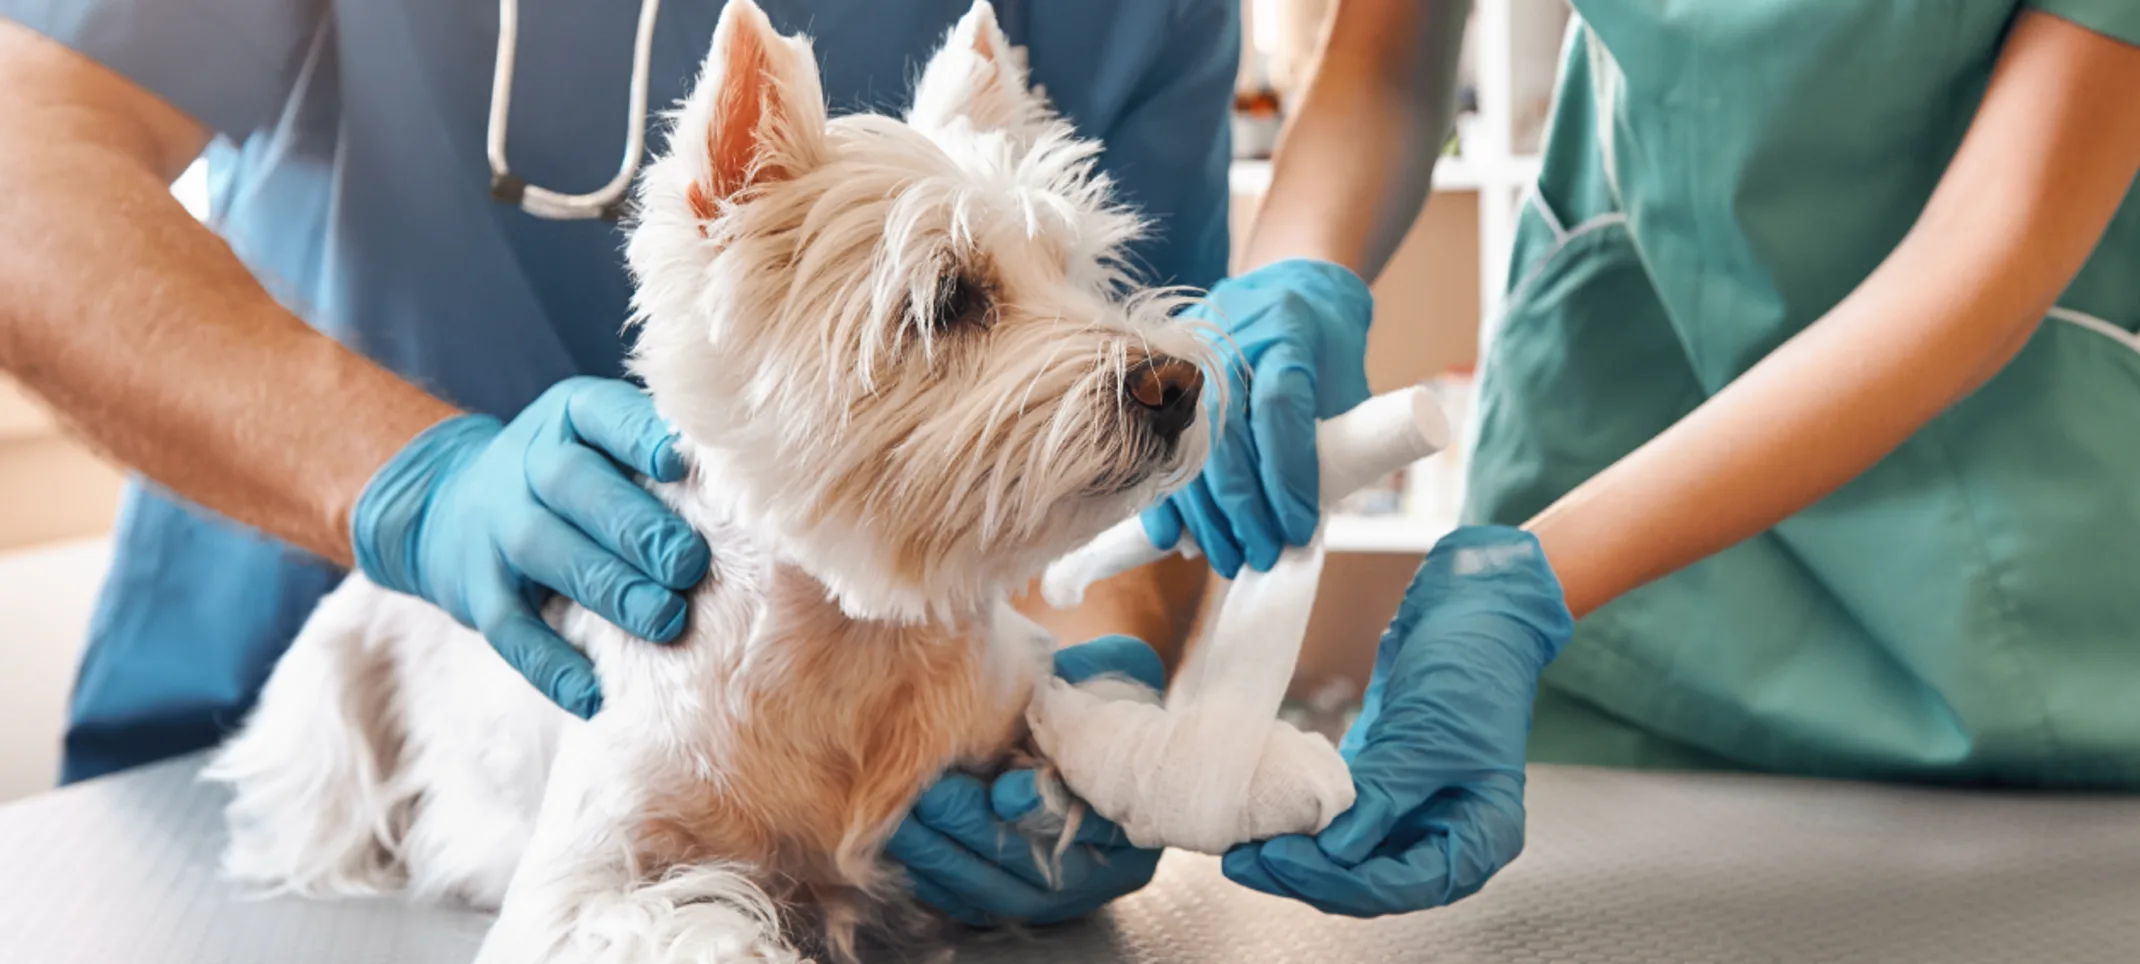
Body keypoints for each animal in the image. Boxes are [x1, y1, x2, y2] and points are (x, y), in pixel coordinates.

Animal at [206, 3, 1215, 959]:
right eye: (950, 299)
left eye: (1076, 272)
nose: (1175, 384)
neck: (855, 650)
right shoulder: (579, 882)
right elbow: (695, 925)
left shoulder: (1007, 694)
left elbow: (1082, 724)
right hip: (330, 707)